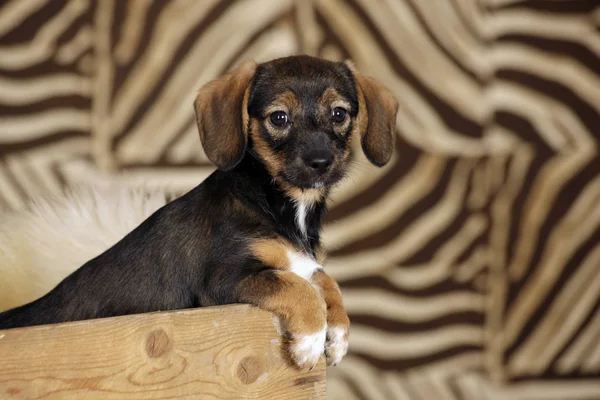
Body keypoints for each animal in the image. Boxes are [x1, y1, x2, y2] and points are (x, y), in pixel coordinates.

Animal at [0, 55, 398, 368]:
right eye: (279, 118)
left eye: (339, 113)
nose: (320, 162)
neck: (279, 204)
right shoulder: (223, 280)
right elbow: (297, 288)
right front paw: (311, 341)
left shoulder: (303, 262)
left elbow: (324, 279)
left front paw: (339, 333)